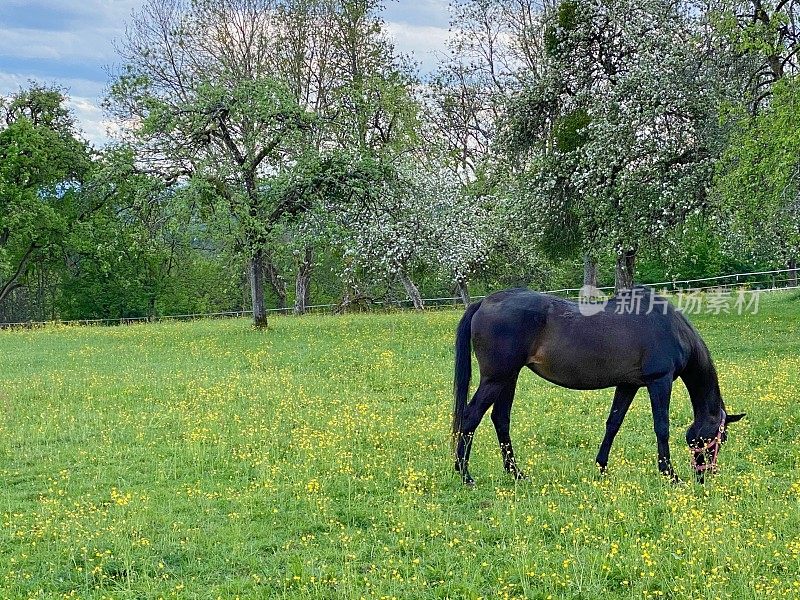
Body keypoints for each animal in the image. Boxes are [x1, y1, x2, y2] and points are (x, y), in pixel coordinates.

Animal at [454, 288, 748, 488]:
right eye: (720, 438)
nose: (705, 475)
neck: (670, 327)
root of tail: (484, 302)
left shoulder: (628, 385)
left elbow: (613, 424)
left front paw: (602, 467)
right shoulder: (659, 381)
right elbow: (661, 427)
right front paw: (670, 474)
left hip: (509, 378)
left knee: (500, 419)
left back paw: (515, 473)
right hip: (496, 378)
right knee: (470, 418)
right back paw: (465, 474)